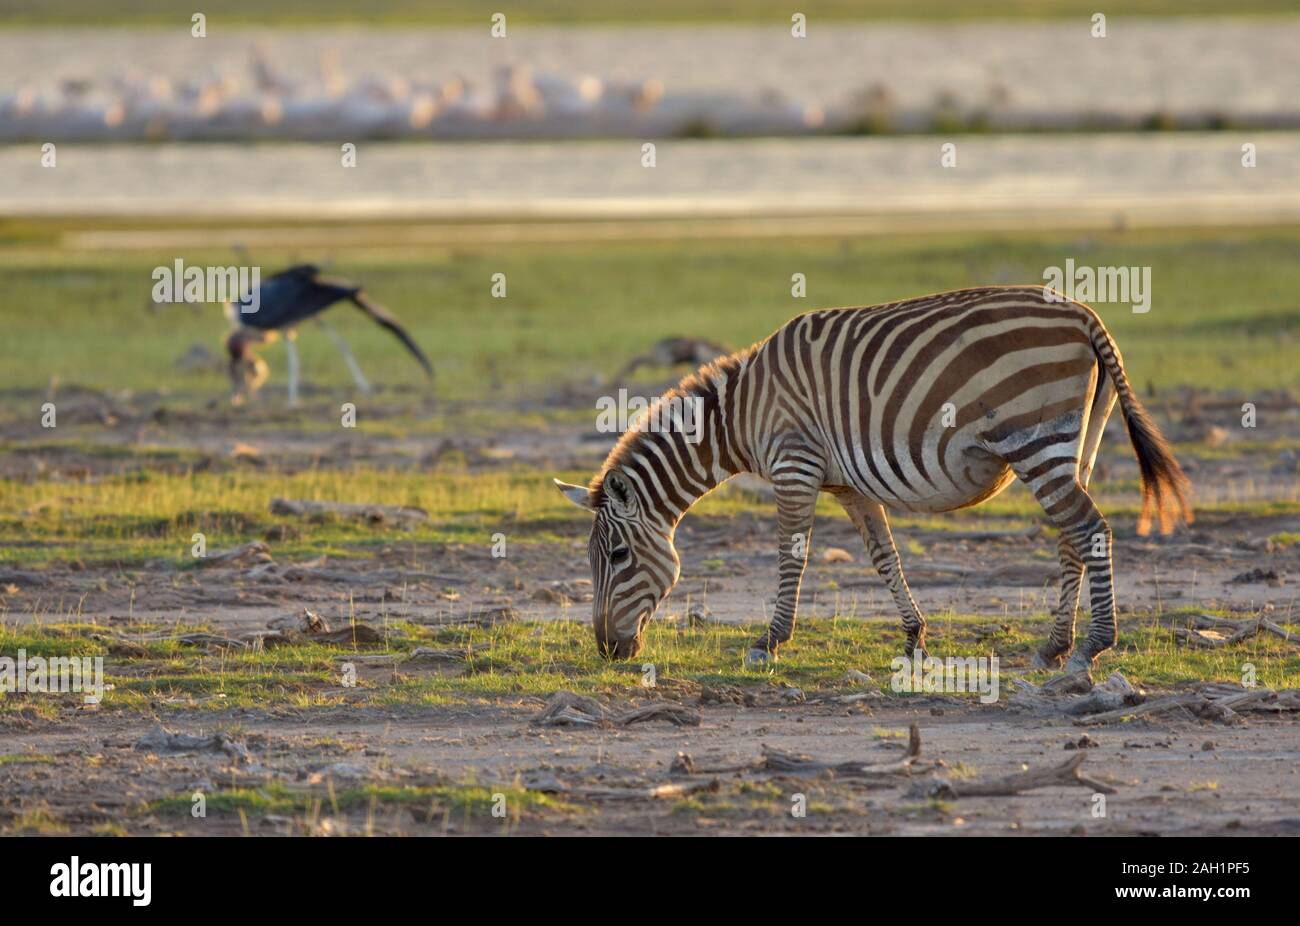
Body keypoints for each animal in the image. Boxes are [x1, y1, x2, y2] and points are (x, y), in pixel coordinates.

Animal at [555, 285, 1192, 674]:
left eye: (616, 557)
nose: (607, 651)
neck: (742, 413)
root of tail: (1084, 313)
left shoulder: (794, 462)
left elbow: (792, 556)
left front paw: (768, 643)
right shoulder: (848, 485)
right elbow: (885, 555)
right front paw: (914, 638)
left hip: (1034, 439)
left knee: (1090, 528)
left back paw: (1092, 646)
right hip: (1076, 441)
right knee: (1071, 537)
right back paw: (1055, 646)